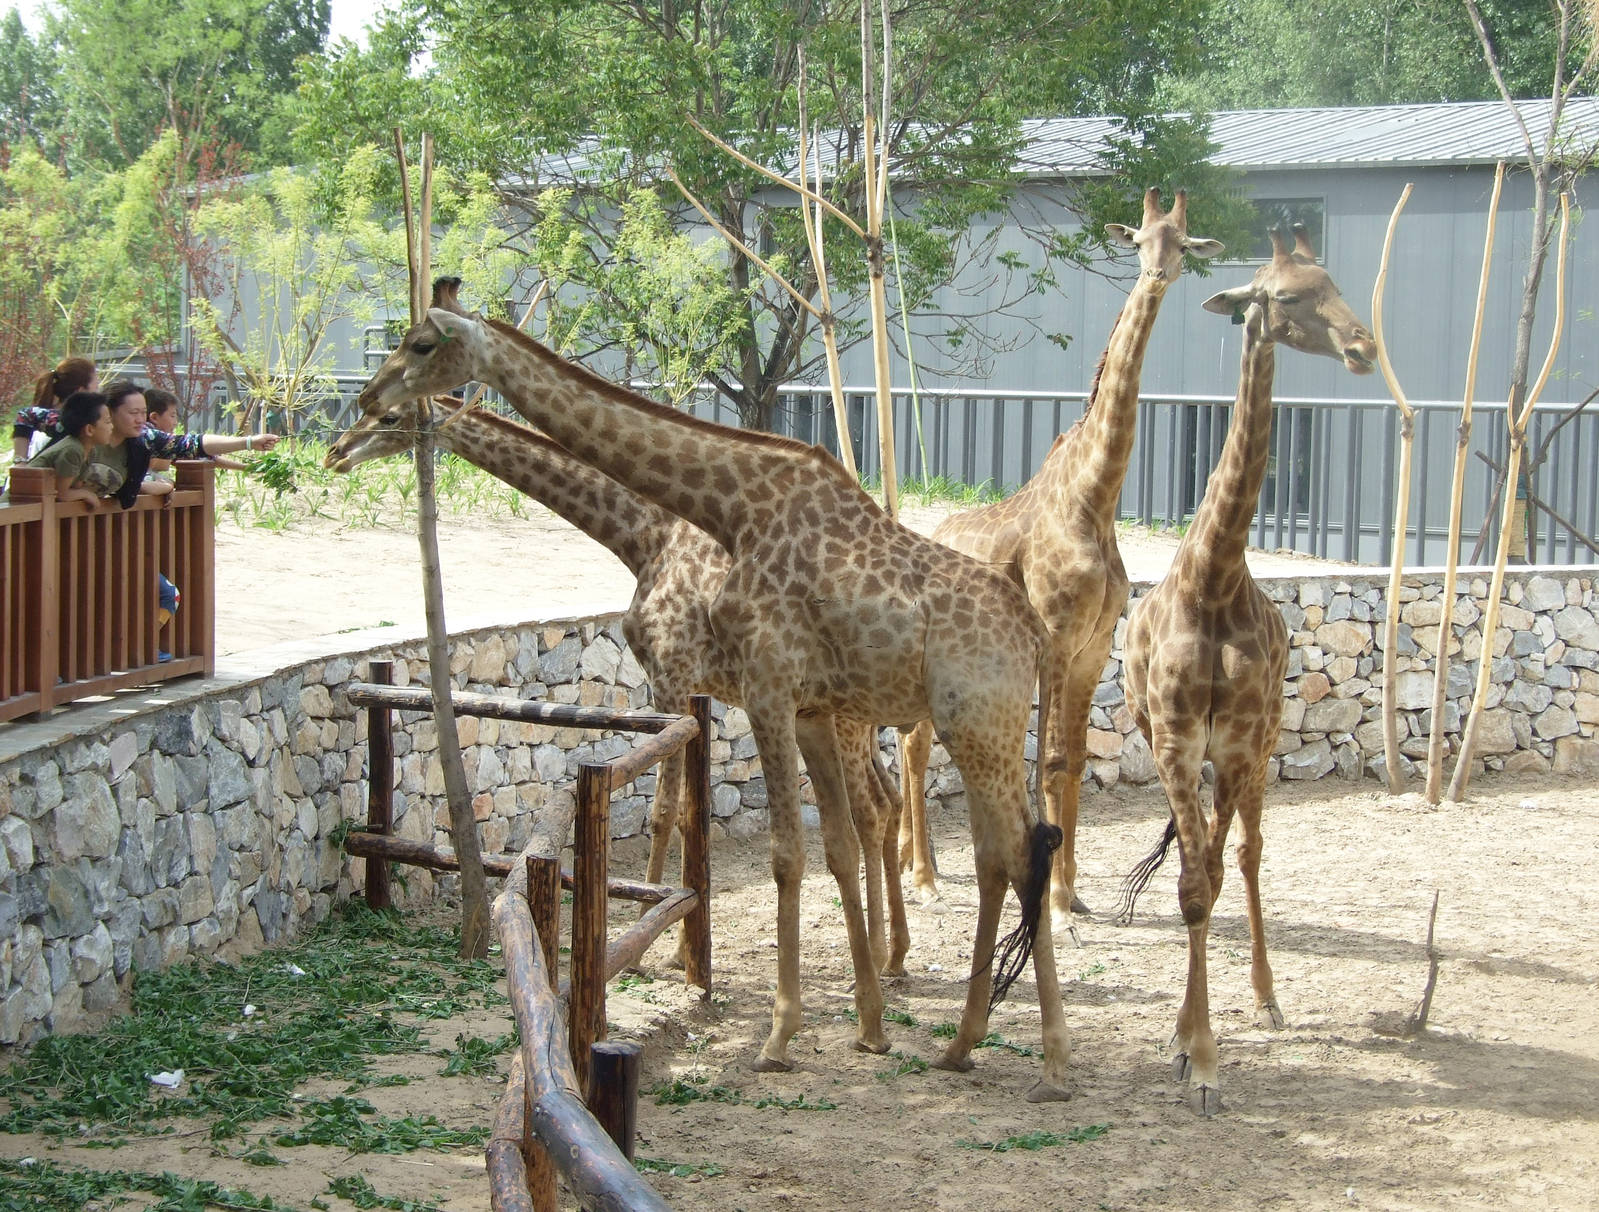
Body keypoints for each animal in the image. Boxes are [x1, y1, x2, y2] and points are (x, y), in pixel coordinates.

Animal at [323, 397, 911, 978]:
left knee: (870, 809)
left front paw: (655, 948)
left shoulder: (672, 679)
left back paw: (881, 956)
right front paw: (676, 944)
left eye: (389, 415)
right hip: (852, 718)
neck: (644, 536)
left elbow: (664, 812)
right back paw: (893, 954)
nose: (336, 453)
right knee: (889, 799)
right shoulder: (684, 689)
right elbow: (686, 812)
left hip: (844, 716)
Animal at [899, 187, 1224, 928]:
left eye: (1183, 245)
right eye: (1140, 241)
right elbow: (1045, 760)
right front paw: (1051, 898)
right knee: (913, 745)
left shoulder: (1093, 646)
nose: (1157, 276)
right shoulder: (1052, 636)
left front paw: (1073, 892)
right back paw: (923, 878)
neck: (1093, 499)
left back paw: (908, 861)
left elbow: (1072, 761)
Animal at [1118, 225, 1375, 1116]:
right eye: (1287, 296)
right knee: (1205, 862)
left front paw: (1198, 1051)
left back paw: (1266, 998)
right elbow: (1189, 886)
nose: (1363, 346)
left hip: (1259, 747)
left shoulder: (1232, 740)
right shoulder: (1171, 740)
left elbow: (1217, 875)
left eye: (1338, 283)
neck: (1216, 575)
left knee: (1246, 854)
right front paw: (1191, 1053)